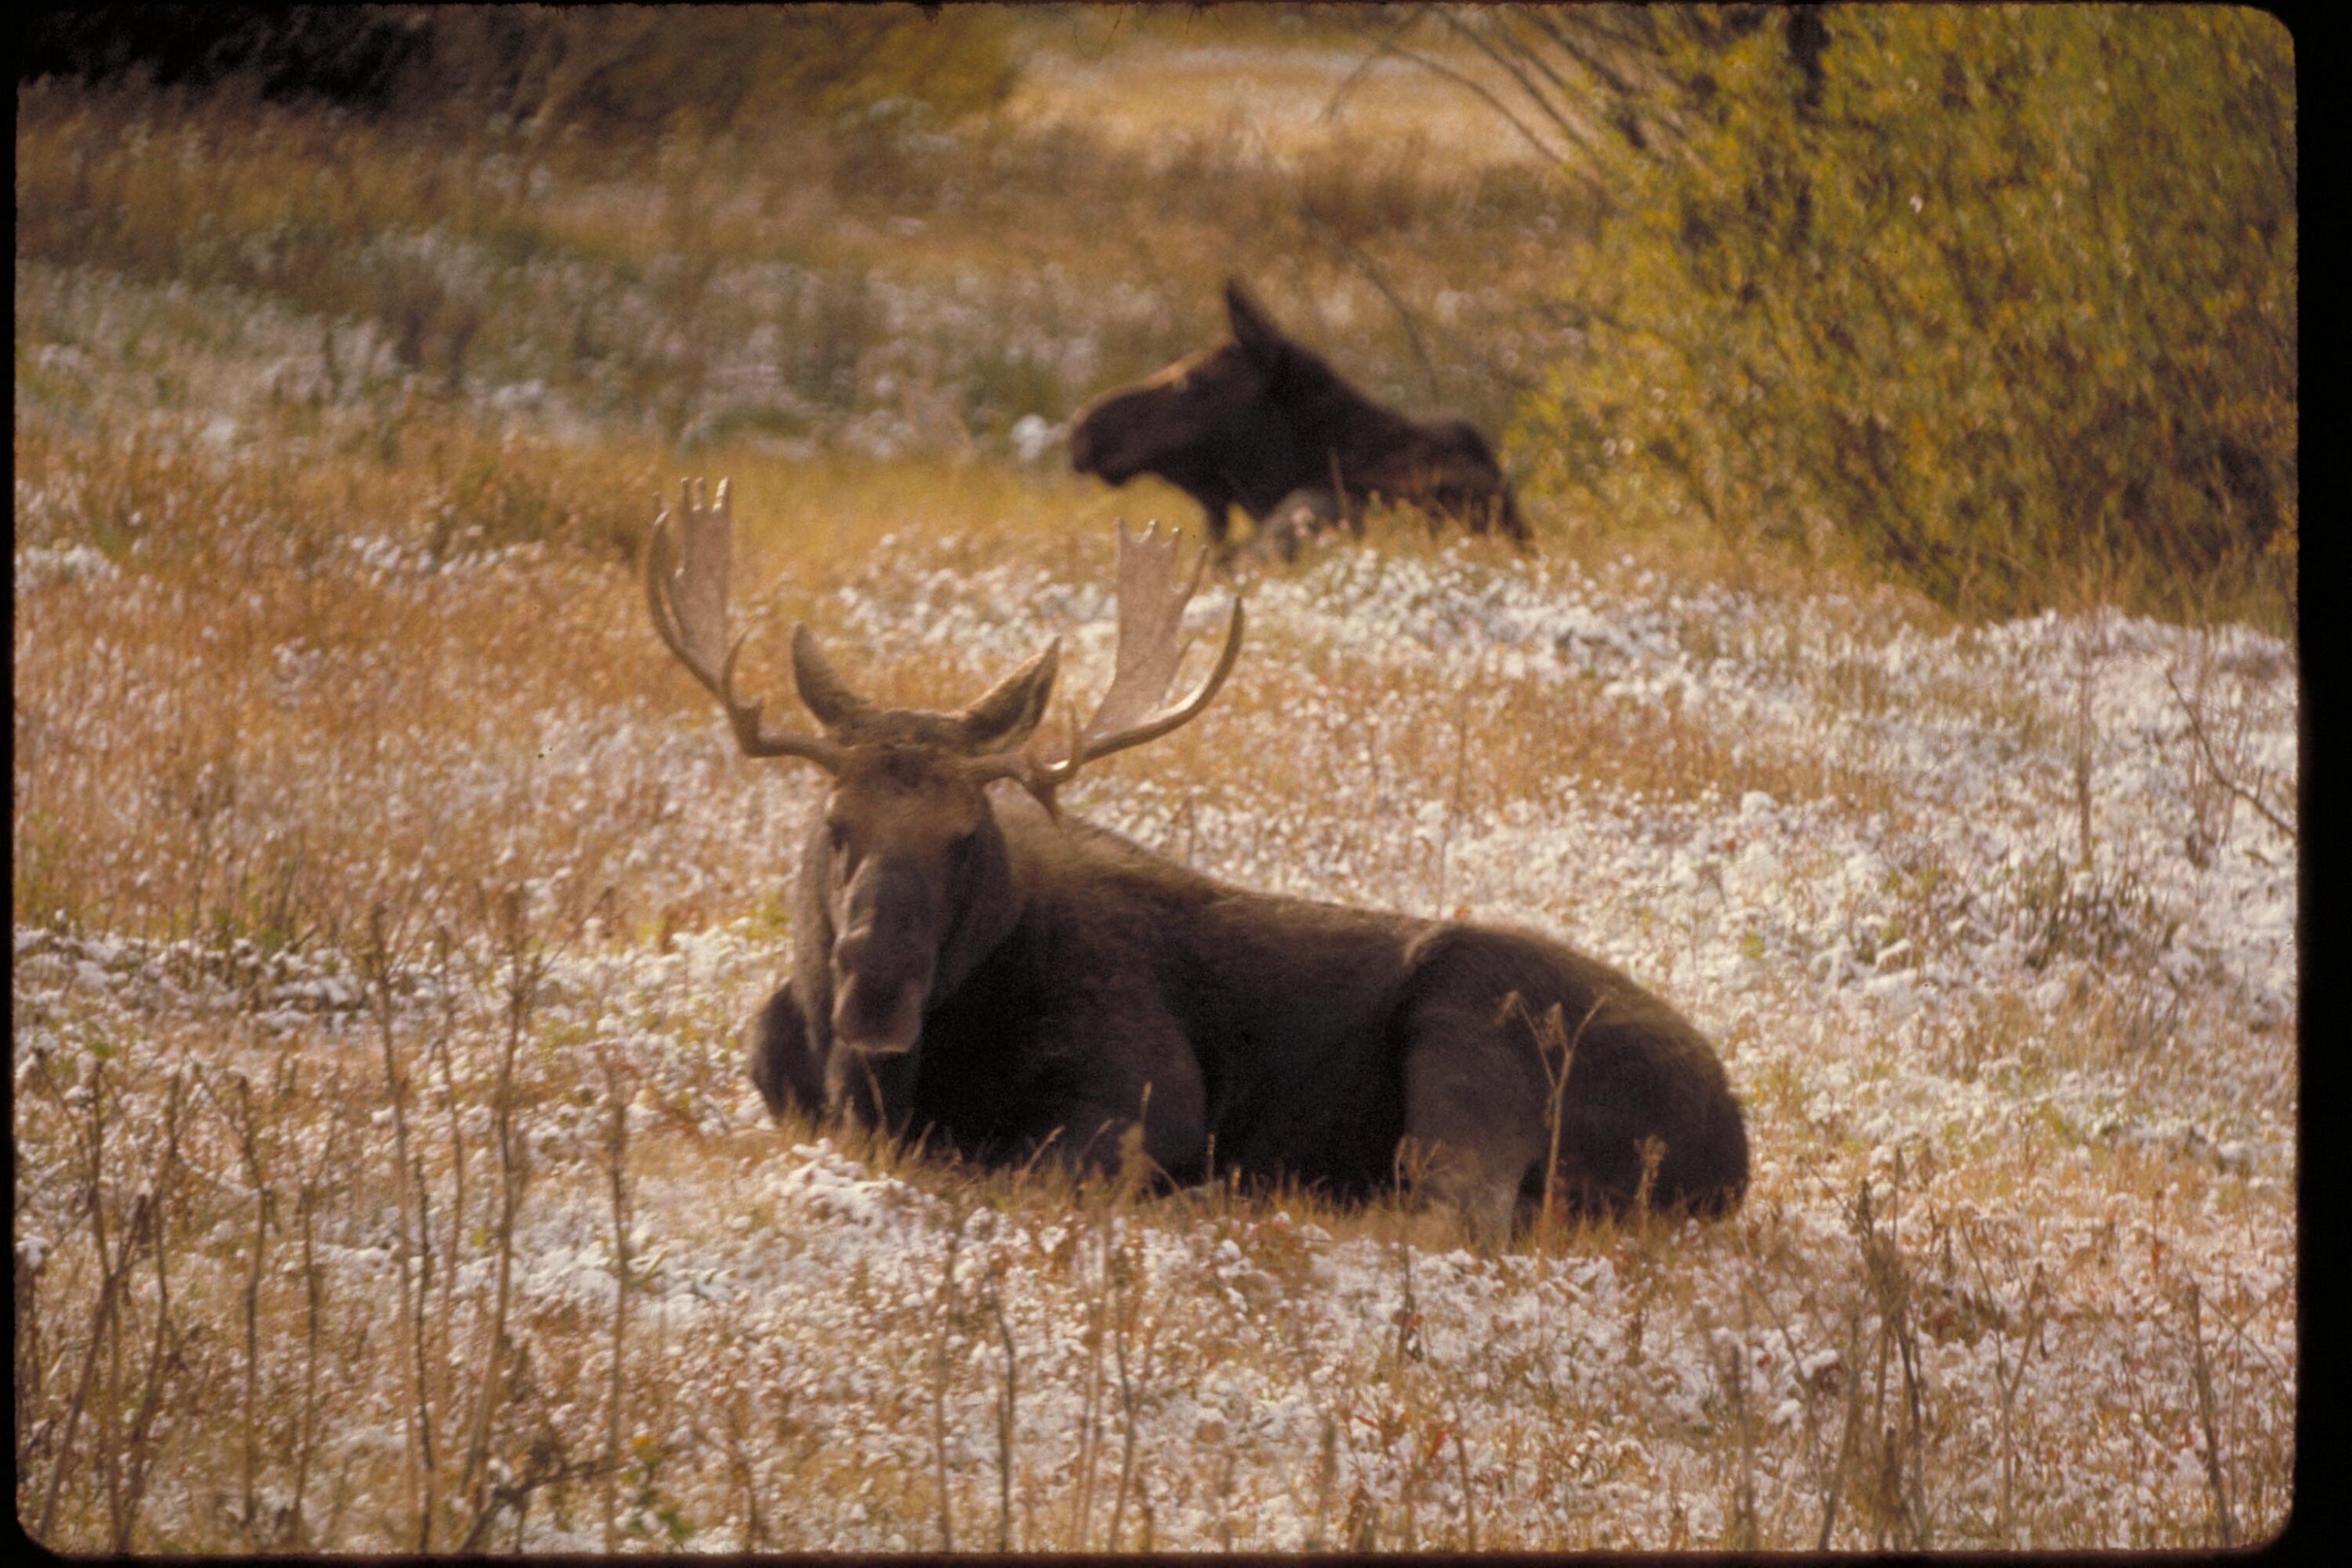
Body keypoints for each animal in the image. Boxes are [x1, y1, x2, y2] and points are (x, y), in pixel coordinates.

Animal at [645, 479, 1743, 1240]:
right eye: (836, 823)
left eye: (966, 835)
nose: (873, 986)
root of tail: (1737, 1149)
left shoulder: (1150, 1094)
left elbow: (1029, 1166)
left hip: (1475, 1017)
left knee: (1456, 1208)